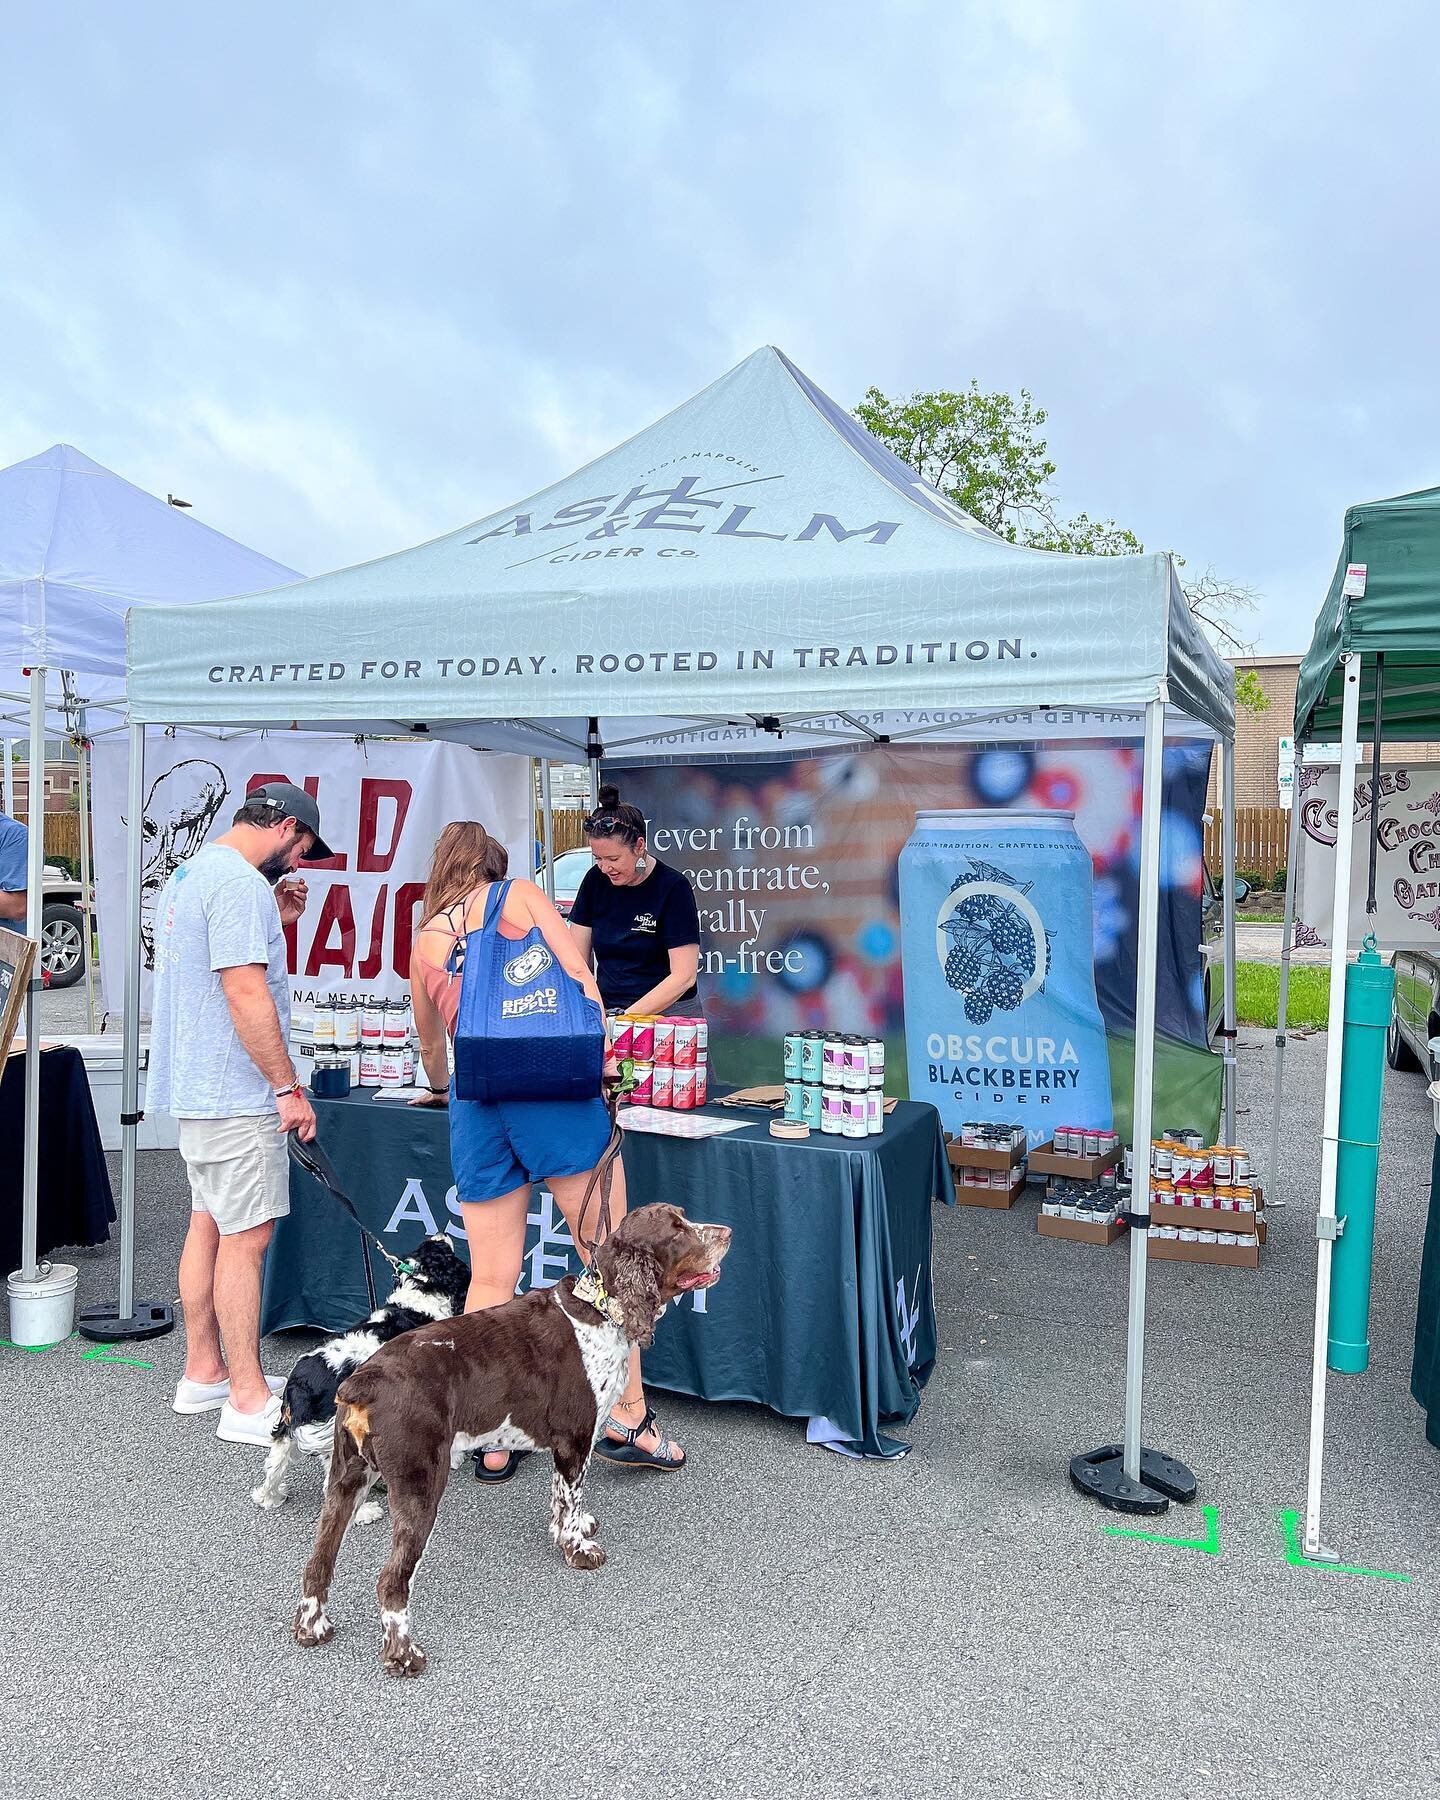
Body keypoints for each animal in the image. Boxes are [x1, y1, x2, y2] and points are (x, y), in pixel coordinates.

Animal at [252, 1224, 468, 1519]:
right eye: (441, 1250)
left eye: (424, 1247)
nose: (441, 1232)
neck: (416, 1301)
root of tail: (300, 1386)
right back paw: (365, 1512)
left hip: (288, 1428)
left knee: (275, 1461)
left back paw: (268, 1497)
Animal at [291, 1202, 727, 1677]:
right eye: (677, 1229)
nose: (726, 1232)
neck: (600, 1310)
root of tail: (362, 1381)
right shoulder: (575, 1438)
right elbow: (571, 1498)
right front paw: (578, 1549)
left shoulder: (569, 1446)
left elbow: (563, 1500)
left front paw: (572, 1528)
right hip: (419, 1484)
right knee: (391, 1580)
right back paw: (404, 1655)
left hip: (346, 1478)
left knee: (318, 1559)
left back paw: (313, 1627)